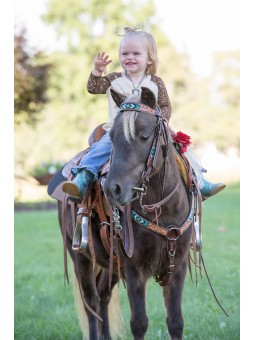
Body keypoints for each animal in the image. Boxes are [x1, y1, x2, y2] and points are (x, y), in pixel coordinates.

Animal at [57, 86, 197, 338]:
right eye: (111, 138)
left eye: (144, 136)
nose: (113, 189)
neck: (162, 210)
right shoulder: (134, 269)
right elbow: (139, 323)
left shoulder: (177, 266)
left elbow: (175, 322)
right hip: (81, 258)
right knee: (91, 303)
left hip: (110, 265)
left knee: (103, 297)